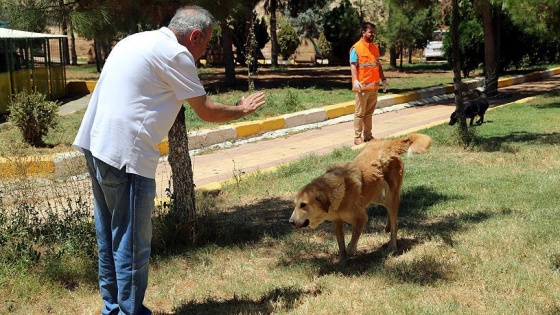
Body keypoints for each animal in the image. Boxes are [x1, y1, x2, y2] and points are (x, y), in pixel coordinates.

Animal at [288, 133, 434, 264]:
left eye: (303, 204)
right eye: (294, 205)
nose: (290, 222)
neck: (334, 191)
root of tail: (388, 144)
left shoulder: (361, 218)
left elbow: (353, 240)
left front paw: (351, 251)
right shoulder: (337, 222)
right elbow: (341, 244)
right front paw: (342, 261)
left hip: (392, 194)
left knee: (395, 223)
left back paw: (392, 246)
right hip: (374, 196)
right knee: (386, 205)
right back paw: (387, 227)